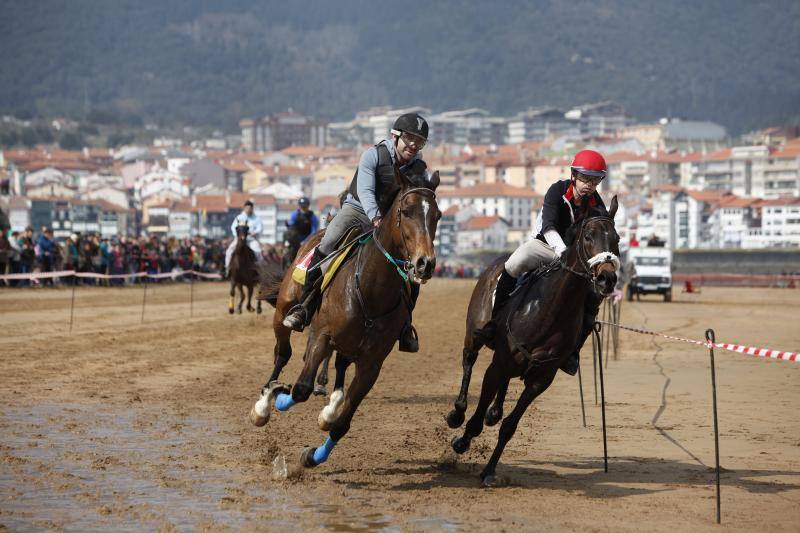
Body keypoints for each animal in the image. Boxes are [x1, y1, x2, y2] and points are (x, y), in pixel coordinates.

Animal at [250, 164, 440, 468]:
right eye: (407, 210)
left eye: (437, 215)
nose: (425, 263)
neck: (371, 290)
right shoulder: (322, 335)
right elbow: (300, 388)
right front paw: (278, 397)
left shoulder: (372, 364)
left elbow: (342, 423)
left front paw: (314, 454)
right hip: (283, 311)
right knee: (283, 353)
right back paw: (264, 402)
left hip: (350, 345)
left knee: (339, 364)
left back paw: (329, 405)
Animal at [444, 196, 620, 486]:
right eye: (588, 237)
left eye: (616, 238)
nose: (607, 278)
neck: (549, 311)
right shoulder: (497, 365)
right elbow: (477, 417)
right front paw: (462, 442)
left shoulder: (541, 378)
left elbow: (509, 426)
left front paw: (489, 471)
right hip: (475, 335)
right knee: (468, 360)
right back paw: (457, 413)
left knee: (501, 394)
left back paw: (494, 412)